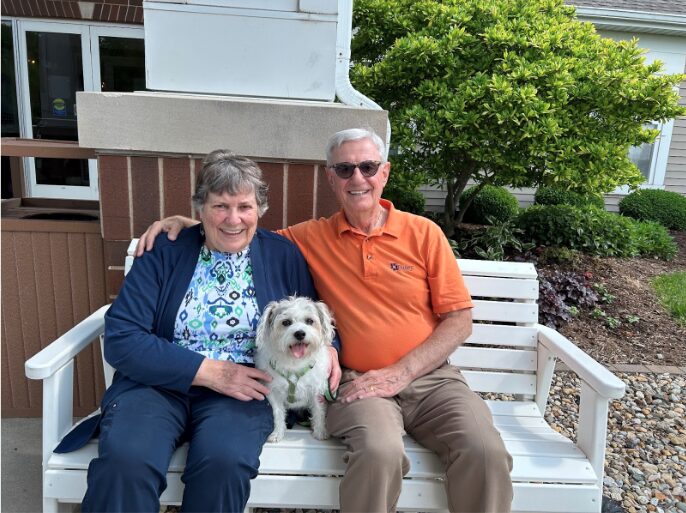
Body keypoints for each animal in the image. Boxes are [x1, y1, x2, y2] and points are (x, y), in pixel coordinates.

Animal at [255, 296, 336, 440]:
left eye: (309, 321)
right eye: (286, 322)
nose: (299, 333)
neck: (295, 362)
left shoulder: (317, 389)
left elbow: (318, 411)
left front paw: (320, 431)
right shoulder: (273, 391)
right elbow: (278, 413)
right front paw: (278, 432)